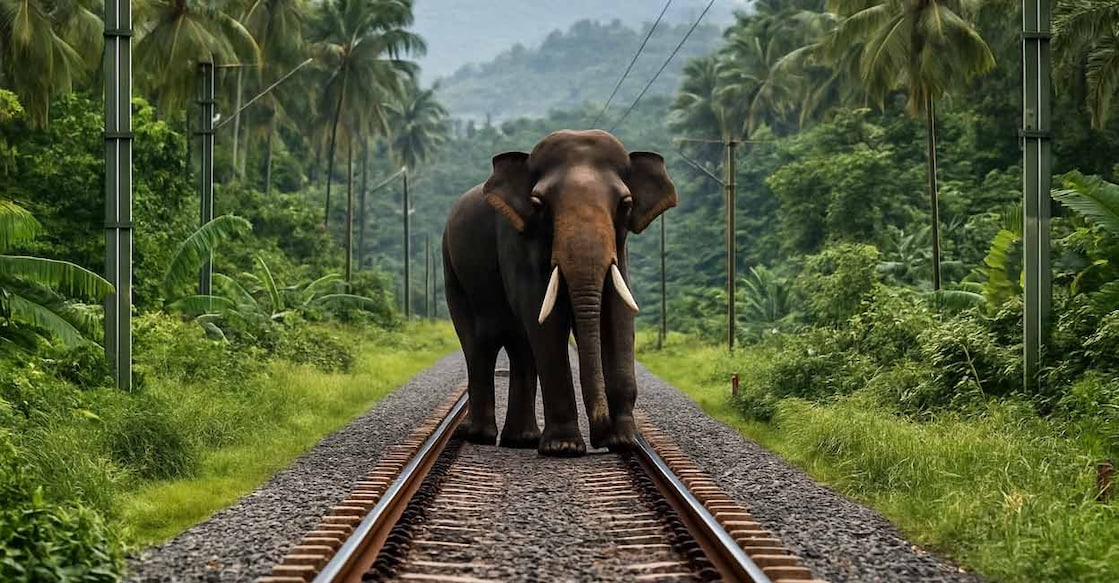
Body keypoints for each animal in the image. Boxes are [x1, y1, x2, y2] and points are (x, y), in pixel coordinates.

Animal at [442, 129, 677, 456]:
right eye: (538, 204)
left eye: (626, 204)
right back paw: (480, 435)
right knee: (479, 345)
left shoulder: (620, 249)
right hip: (452, 273)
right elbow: (543, 318)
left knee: (520, 348)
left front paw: (626, 442)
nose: (599, 436)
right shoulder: (516, 242)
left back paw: (522, 440)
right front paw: (564, 447)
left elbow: (618, 315)